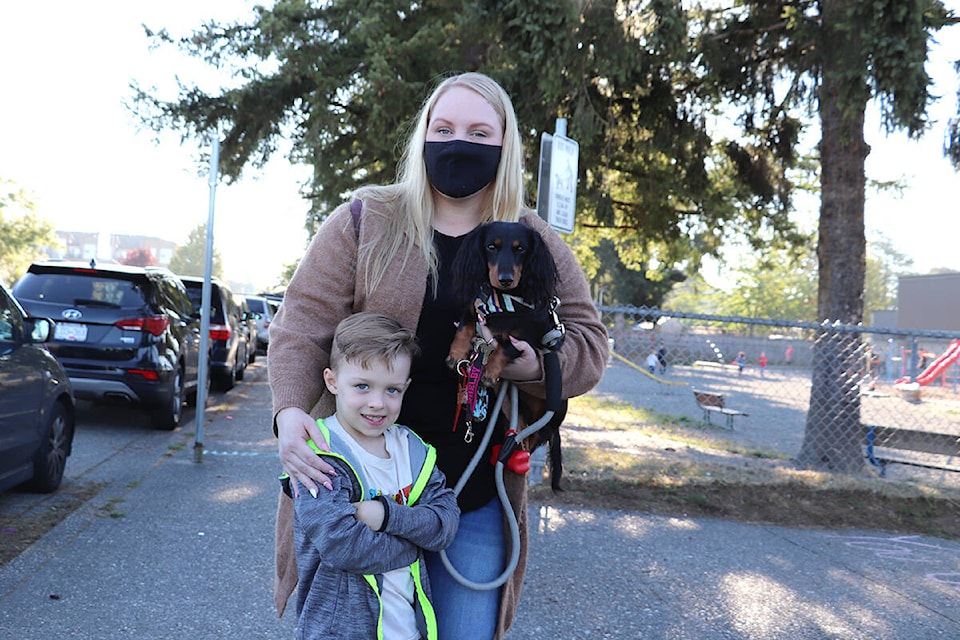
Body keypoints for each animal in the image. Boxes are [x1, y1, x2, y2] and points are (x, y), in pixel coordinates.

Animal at [446, 221, 568, 490]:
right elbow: (464, 327)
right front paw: (455, 354)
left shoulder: (525, 337)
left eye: (520, 249)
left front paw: (489, 372)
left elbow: (504, 348)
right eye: (491, 247)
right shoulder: (475, 311)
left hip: (552, 410)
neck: (501, 300)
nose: (505, 279)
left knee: (536, 437)